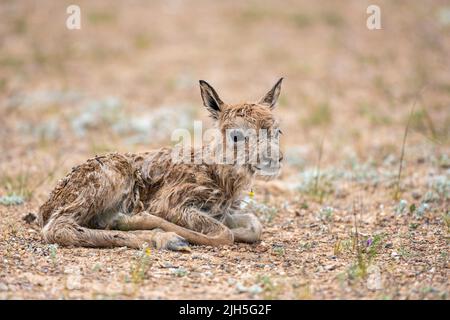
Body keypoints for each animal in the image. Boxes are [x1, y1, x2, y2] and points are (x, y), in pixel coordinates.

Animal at [39, 79, 284, 251]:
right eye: (236, 136)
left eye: (278, 131)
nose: (275, 158)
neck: (218, 176)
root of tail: (46, 207)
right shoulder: (173, 203)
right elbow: (224, 235)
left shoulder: (221, 211)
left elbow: (254, 225)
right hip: (108, 180)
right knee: (59, 228)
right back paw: (163, 237)